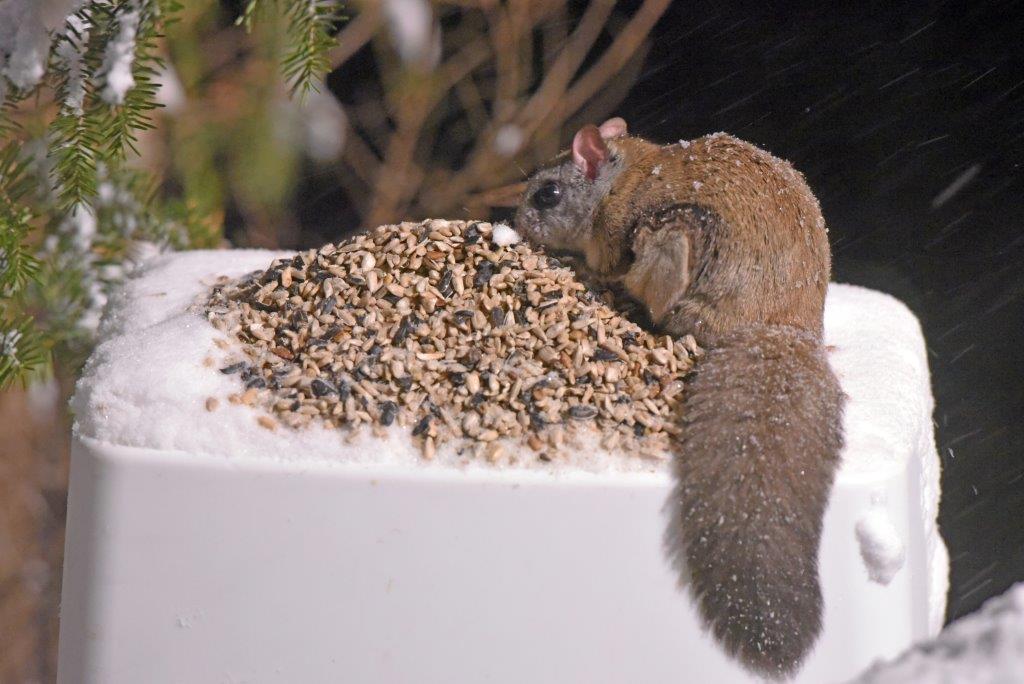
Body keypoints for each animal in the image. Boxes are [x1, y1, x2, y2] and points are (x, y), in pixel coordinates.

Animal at [514, 118, 845, 679]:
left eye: (547, 194)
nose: (516, 226)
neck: (620, 175)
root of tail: (778, 327)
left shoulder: (617, 232)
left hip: (674, 239)